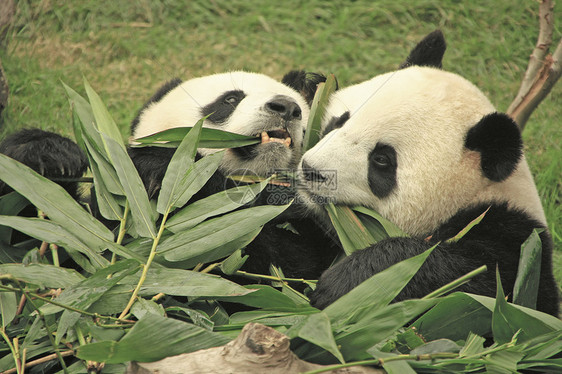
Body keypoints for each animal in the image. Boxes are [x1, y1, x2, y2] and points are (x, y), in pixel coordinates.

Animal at [298, 54, 556, 316]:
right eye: (340, 121)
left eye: (382, 159)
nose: (312, 169)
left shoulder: (514, 241)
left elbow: (472, 279)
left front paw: (349, 284)